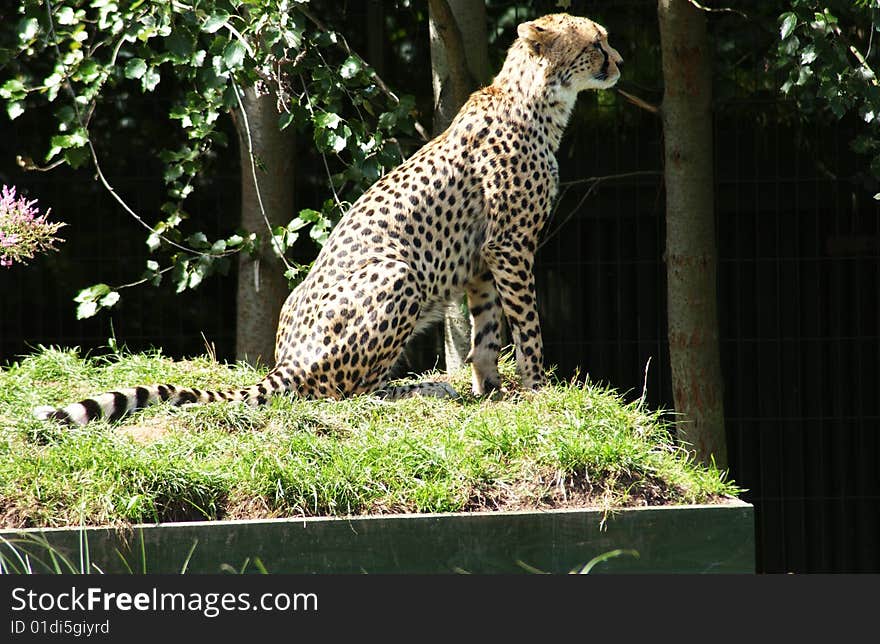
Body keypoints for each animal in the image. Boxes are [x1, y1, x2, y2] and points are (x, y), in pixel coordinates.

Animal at [36, 12, 624, 426]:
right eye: (596, 43)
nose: (618, 63)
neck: (538, 98)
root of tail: (284, 360)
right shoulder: (510, 245)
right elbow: (527, 325)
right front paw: (539, 388)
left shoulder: (483, 258)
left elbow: (485, 333)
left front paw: (492, 391)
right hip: (398, 274)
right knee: (339, 393)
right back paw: (420, 388)